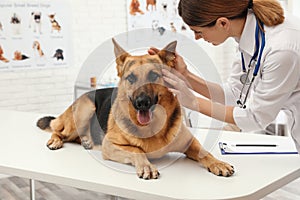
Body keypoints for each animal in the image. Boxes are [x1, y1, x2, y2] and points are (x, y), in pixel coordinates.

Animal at [37, 38, 234, 179]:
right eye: (131, 78)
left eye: (154, 75)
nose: (142, 102)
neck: (153, 128)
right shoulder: (110, 145)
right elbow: (136, 150)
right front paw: (146, 165)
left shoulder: (190, 143)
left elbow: (205, 152)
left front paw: (218, 163)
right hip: (85, 110)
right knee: (58, 131)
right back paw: (56, 141)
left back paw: (86, 140)